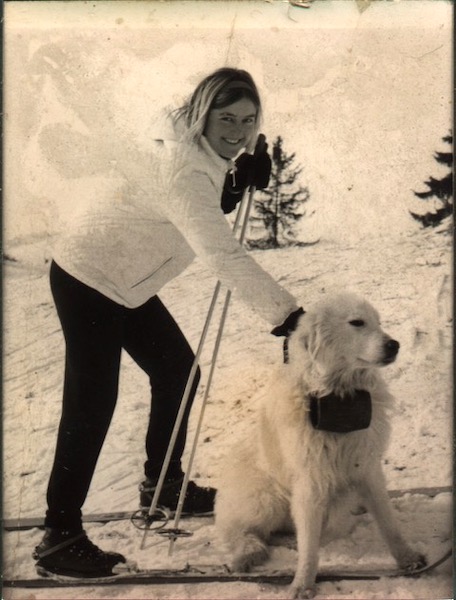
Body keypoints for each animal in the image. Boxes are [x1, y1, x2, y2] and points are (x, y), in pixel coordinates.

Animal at [216, 290, 426, 596]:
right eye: (357, 322)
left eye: (378, 322)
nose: (394, 345)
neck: (339, 398)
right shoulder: (310, 481)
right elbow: (309, 545)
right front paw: (302, 584)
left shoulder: (366, 468)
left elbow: (388, 522)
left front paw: (408, 559)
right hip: (265, 499)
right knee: (243, 531)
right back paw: (250, 552)